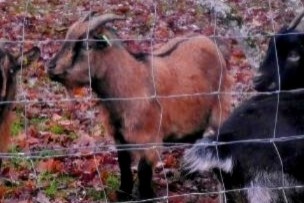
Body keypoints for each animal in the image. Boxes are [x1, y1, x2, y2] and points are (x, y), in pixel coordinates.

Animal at [47, 12, 232, 201]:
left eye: (86, 45)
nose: (50, 67)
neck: (132, 82)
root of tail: (211, 43)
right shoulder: (120, 139)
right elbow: (124, 166)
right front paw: (123, 193)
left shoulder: (150, 140)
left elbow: (144, 172)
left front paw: (147, 195)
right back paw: (189, 170)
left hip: (221, 107)